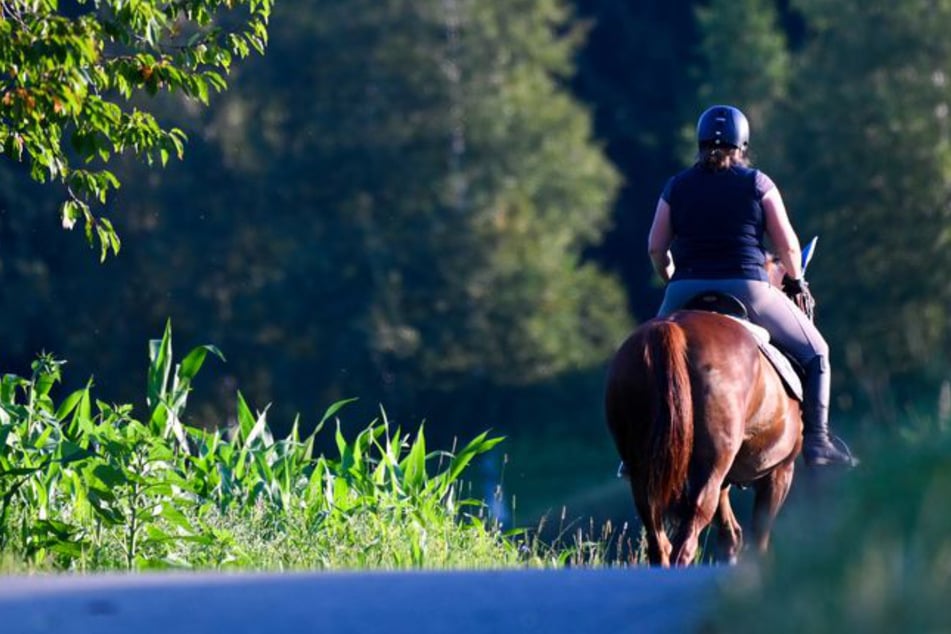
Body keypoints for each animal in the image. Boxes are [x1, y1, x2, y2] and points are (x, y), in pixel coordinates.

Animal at [605, 285, 804, 567]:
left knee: (658, 538)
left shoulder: (727, 479)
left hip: (644, 470)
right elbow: (758, 538)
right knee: (687, 539)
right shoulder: (779, 471)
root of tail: (671, 328)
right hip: (713, 465)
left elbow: (731, 535)